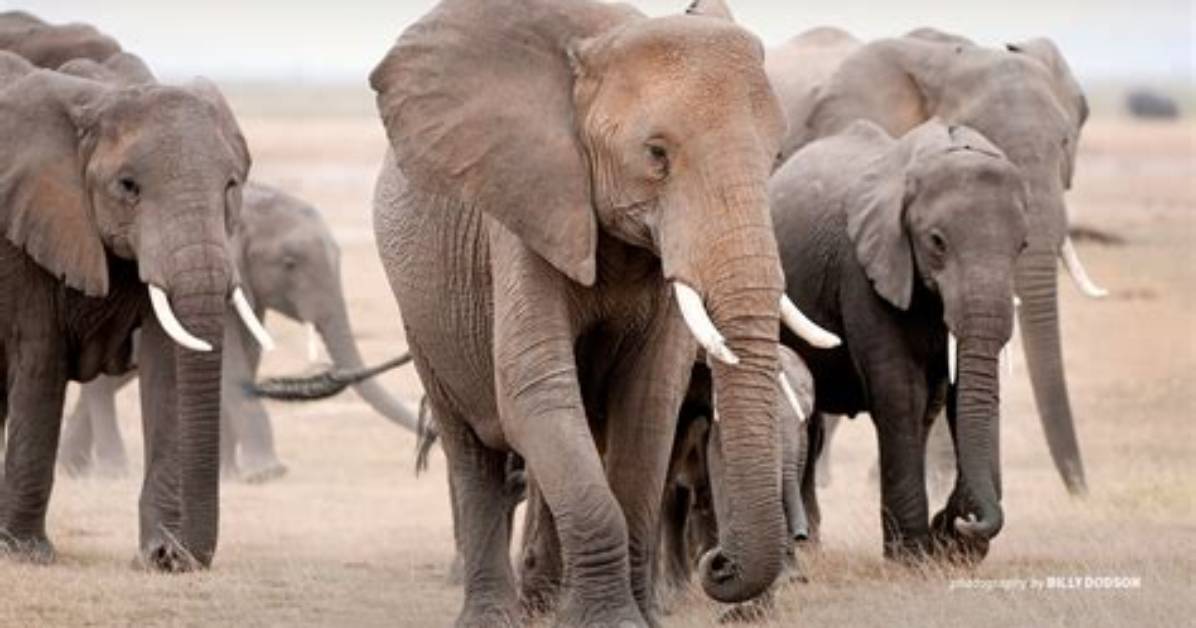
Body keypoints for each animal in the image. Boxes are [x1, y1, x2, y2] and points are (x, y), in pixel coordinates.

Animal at [0, 50, 266, 570]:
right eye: (128, 186)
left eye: (231, 186)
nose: (183, 555)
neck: (97, 98)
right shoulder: (19, 234)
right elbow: (40, 362)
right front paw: (26, 553)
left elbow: (167, 368)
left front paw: (158, 556)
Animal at [57, 181, 421, 482]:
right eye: (290, 263)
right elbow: (230, 366)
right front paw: (266, 474)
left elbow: (246, 358)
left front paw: (229, 476)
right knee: (101, 387)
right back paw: (111, 472)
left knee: (111, 382)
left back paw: (74, 469)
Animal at [367, 0, 839, 623]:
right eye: (657, 155)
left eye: (776, 156)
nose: (718, 564)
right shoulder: (527, 212)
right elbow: (534, 391)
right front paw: (611, 619)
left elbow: (648, 404)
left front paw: (639, 617)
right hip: (420, 313)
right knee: (472, 449)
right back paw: (500, 613)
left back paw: (545, 600)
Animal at [774, 118, 1030, 561]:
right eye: (937, 242)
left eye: (1022, 246)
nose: (963, 523)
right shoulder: (863, 268)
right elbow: (900, 393)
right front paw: (912, 557)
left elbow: (953, 398)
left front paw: (949, 548)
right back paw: (807, 549)